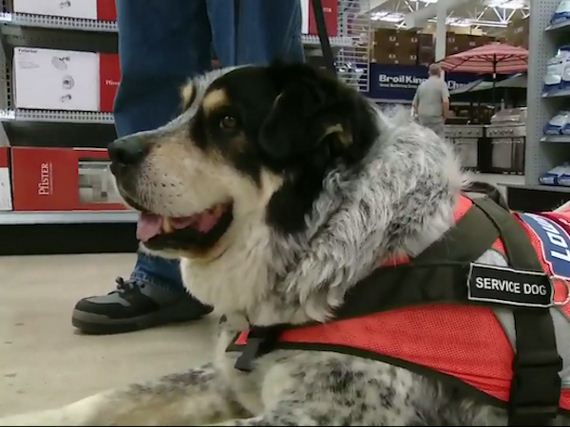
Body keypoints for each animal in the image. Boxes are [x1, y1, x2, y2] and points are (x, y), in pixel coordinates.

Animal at [2, 64, 564, 427]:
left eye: (227, 122)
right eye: (181, 110)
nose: (116, 151)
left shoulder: (323, 415)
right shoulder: (225, 379)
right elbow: (105, 400)